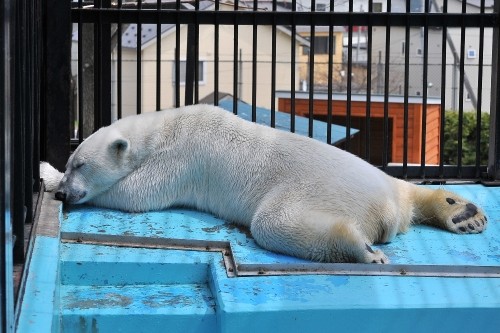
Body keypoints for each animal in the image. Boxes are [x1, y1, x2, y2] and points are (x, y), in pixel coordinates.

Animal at [40, 104, 488, 262]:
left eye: (80, 164)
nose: (64, 192)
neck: (164, 126)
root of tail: (385, 211)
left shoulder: (182, 157)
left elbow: (138, 193)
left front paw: (47, 174)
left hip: (310, 190)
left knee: (275, 222)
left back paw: (359, 248)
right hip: (379, 178)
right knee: (404, 186)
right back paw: (463, 212)